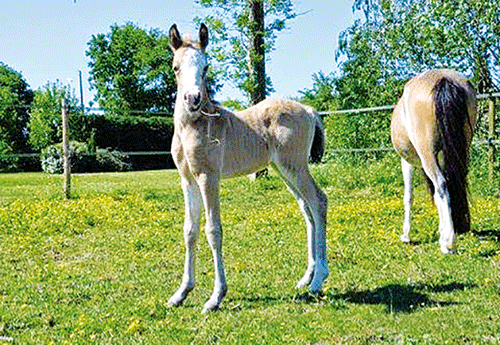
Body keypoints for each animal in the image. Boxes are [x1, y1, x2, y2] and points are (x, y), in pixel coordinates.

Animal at [168, 22, 330, 310]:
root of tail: (310, 110)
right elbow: (189, 230)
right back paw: (306, 278)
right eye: (176, 67)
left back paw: (318, 281)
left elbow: (213, 230)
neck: (192, 127)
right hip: (284, 170)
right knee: (307, 208)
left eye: (206, 67)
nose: (193, 99)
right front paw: (181, 292)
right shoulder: (187, 179)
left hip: (295, 167)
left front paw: (216, 297)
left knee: (319, 202)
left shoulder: (208, 177)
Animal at [390, 69, 476, 253]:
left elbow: (409, 196)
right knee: (454, 182)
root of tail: (444, 79)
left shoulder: (406, 162)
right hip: (461, 149)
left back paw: (448, 243)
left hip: (427, 155)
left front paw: (406, 235)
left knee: (441, 185)